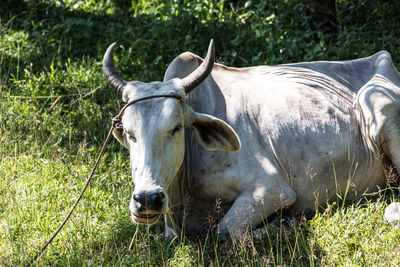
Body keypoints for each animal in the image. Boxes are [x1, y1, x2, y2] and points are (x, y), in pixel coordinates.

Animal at [102, 39, 400, 241]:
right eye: (129, 133)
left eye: (176, 127)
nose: (148, 199)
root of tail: (385, 59)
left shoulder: (272, 189)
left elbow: (225, 231)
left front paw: (283, 223)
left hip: (378, 104)